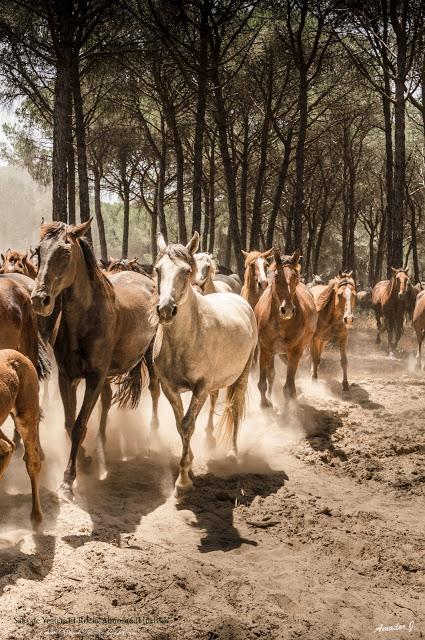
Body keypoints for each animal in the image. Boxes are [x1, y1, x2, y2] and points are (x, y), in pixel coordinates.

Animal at [31, 220, 157, 496]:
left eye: (66, 252)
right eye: (38, 250)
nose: (39, 299)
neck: (87, 318)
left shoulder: (94, 377)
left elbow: (79, 424)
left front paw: (69, 478)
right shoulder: (67, 377)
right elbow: (69, 423)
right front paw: (85, 460)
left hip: (151, 358)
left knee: (155, 390)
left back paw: (152, 436)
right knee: (107, 401)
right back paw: (101, 444)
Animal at [154, 232, 256, 498]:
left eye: (186, 271)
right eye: (158, 269)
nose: (166, 310)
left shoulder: (199, 388)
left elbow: (188, 424)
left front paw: (183, 481)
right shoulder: (169, 387)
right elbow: (180, 425)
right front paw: (188, 463)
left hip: (242, 376)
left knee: (235, 407)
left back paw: (232, 452)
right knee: (215, 400)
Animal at [253, 249, 316, 404]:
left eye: (295, 276)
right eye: (276, 275)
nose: (286, 310)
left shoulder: (295, 351)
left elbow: (287, 386)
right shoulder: (265, 350)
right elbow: (264, 381)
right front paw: (265, 404)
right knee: (272, 374)